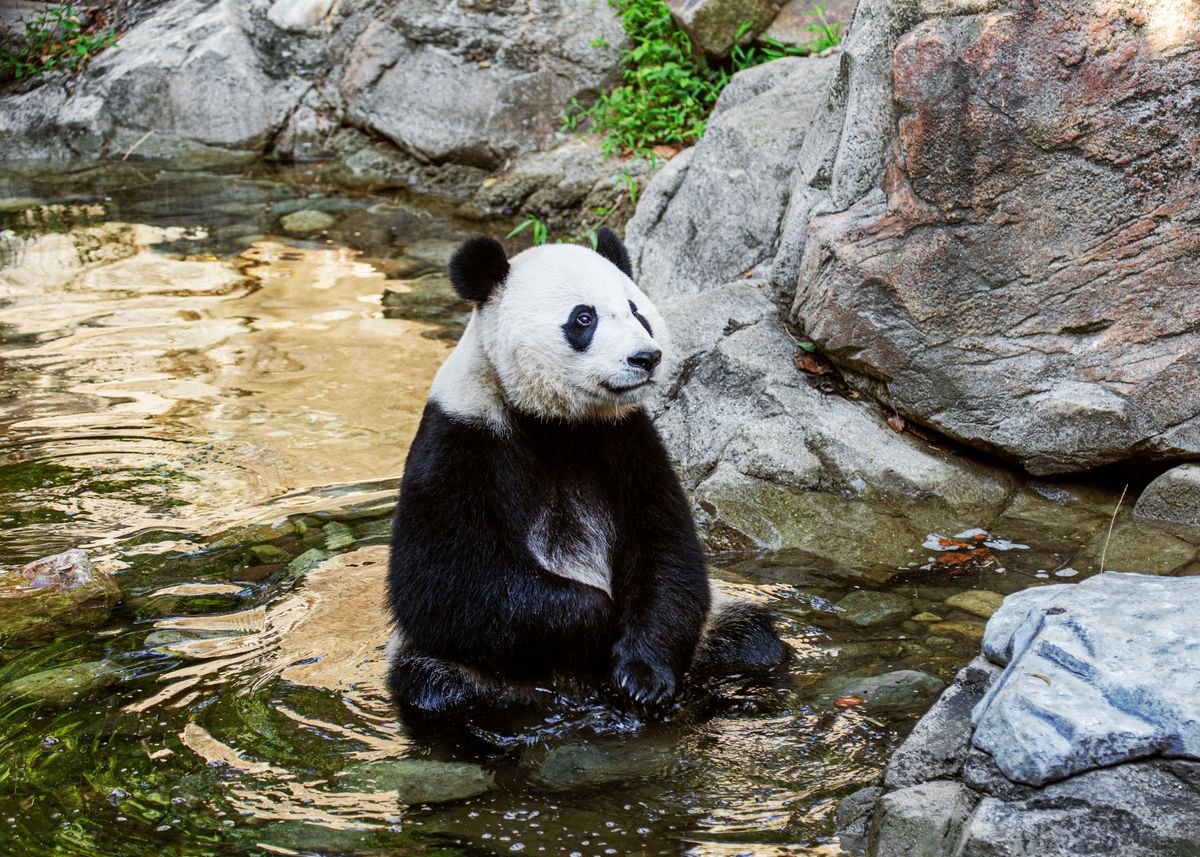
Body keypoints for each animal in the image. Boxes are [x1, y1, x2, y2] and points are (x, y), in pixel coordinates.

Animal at [386, 228, 787, 718]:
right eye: (583, 318)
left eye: (637, 311)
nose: (646, 357)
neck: (555, 421)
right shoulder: (460, 436)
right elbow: (444, 579)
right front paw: (599, 621)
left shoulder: (626, 440)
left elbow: (666, 551)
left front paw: (643, 677)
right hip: (454, 664)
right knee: (435, 686)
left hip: (712, 634)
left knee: (751, 639)